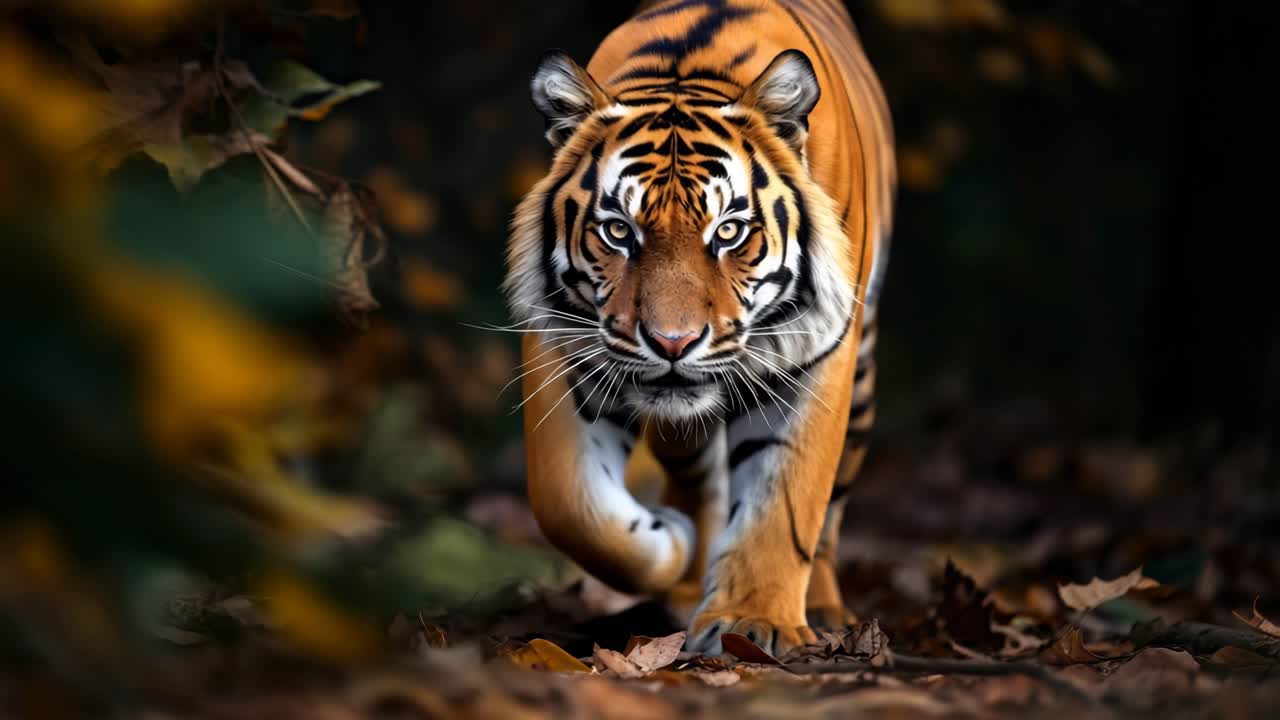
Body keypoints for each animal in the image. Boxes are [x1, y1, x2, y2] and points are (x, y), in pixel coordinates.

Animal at [504, 0, 894, 656]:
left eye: (729, 232)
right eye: (618, 231)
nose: (672, 343)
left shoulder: (814, 356)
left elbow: (786, 501)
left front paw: (753, 622)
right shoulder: (569, 341)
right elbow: (570, 506)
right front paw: (673, 542)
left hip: (862, 383)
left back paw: (820, 606)